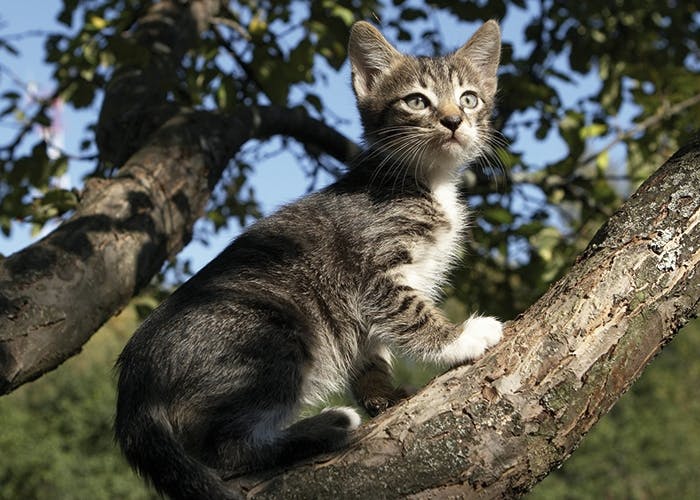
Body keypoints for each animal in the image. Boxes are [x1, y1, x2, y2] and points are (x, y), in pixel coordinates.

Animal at [117, 19, 506, 500]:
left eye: (469, 98)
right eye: (417, 101)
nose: (453, 120)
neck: (425, 181)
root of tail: (135, 378)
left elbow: (372, 346)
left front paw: (381, 394)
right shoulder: (372, 268)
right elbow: (409, 313)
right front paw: (460, 338)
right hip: (272, 332)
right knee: (226, 450)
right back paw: (325, 426)